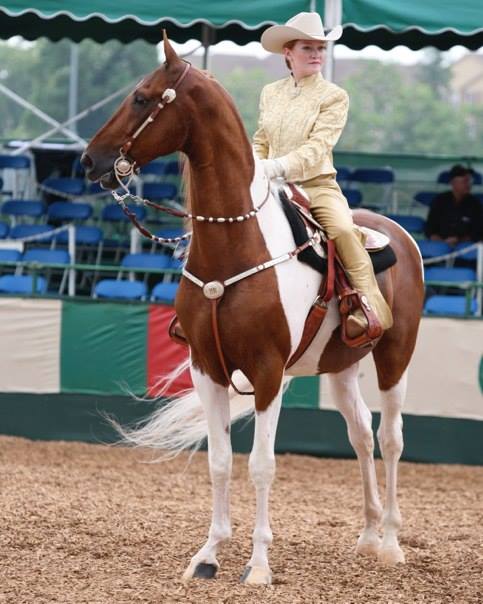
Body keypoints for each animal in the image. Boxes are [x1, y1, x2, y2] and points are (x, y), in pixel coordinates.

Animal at [81, 36, 426, 584]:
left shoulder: (267, 372)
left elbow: (261, 465)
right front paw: (207, 555)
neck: (236, 244)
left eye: (141, 97)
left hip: (395, 355)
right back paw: (369, 535)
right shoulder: (206, 368)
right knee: (360, 435)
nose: (89, 161)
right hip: (342, 367)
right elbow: (219, 462)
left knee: (390, 438)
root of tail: (399, 236)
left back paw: (391, 542)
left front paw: (258, 564)